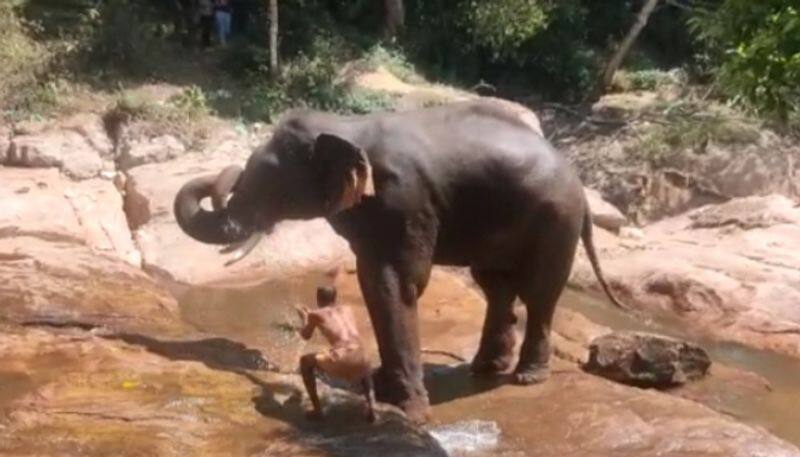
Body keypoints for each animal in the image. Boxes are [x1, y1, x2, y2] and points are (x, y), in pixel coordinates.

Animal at [173, 98, 624, 422]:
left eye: (266, 185)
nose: (223, 177)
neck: (345, 126)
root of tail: (580, 183)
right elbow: (374, 281)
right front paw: (383, 388)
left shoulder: (404, 201)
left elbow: (397, 282)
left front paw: (407, 410)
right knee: (496, 285)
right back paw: (485, 369)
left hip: (556, 220)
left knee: (538, 293)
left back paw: (526, 378)